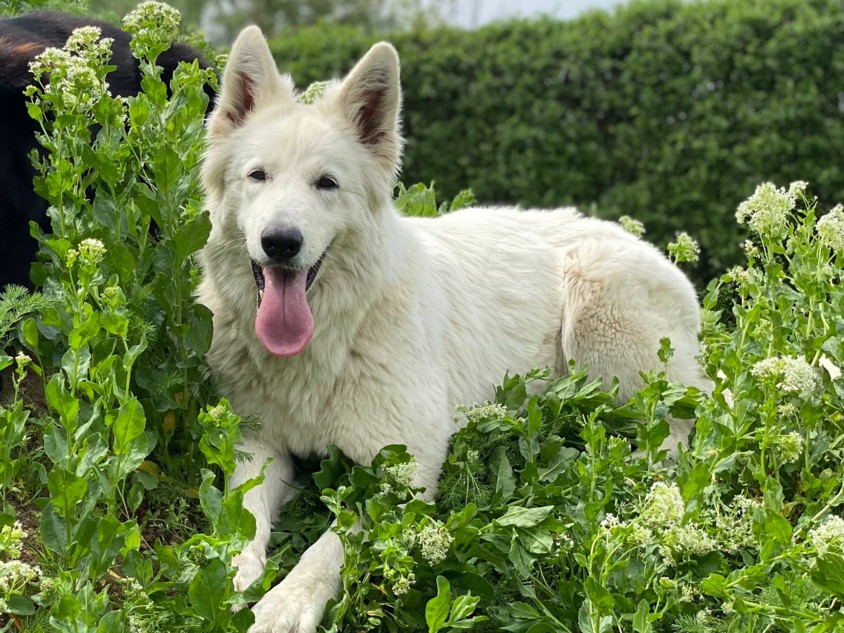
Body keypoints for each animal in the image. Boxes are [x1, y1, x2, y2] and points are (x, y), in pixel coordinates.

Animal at [197, 25, 710, 633]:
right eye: (258, 176)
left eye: (327, 183)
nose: (280, 242)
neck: (332, 339)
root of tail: (648, 246)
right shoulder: (258, 444)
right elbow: (244, 515)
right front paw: (233, 572)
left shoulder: (405, 467)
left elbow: (330, 545)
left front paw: (287, 602)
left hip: (598, 315)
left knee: (695, 413)